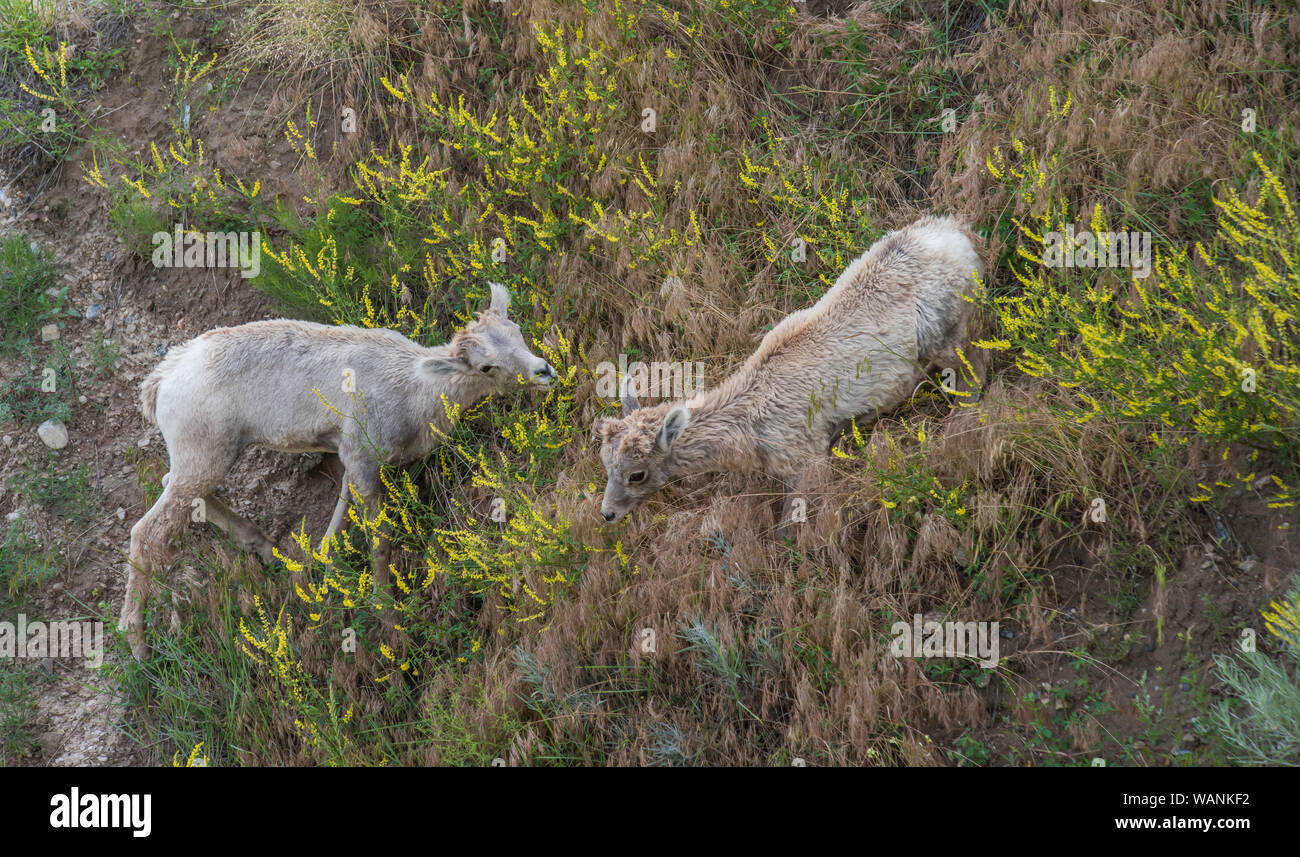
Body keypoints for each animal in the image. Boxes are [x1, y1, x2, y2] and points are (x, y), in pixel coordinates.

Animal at [115, 284, 553, 660]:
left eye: (516, 332)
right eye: (486, 365)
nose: (544, 371)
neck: (415, 391)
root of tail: (160, 382)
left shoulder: (351, 461)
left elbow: (337, 522)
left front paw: (323, 571)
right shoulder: (363, 460)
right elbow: (379, 541)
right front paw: (388, 619)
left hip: (204, 460)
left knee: (178, 490)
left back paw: (269, 551)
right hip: (203, 457)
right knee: (146, 533)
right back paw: (137, 644)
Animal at [598, 214, 982, 533]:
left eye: (637, 474)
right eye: (605, 462)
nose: (607, 513)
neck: (748, 429)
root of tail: (960, 234)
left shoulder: (804, 458)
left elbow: (789, 529)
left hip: (946, 331)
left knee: (974, 364)